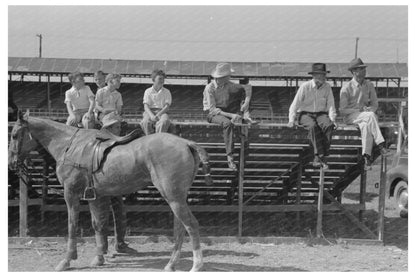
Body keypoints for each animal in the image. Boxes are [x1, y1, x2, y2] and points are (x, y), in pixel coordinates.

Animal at [8, 111, 213, 270]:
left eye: (14, 135)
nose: (11, 163)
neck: (69, 145)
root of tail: (186, 143)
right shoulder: (94, 196)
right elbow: (98, 225)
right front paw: (98, 258)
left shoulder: (71, 194)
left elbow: (72, 225)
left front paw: (66, 260)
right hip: (177, 197)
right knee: (180, 228)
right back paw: (171, 264)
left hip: (173, 197)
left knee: (191, 225)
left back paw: (196, 265)